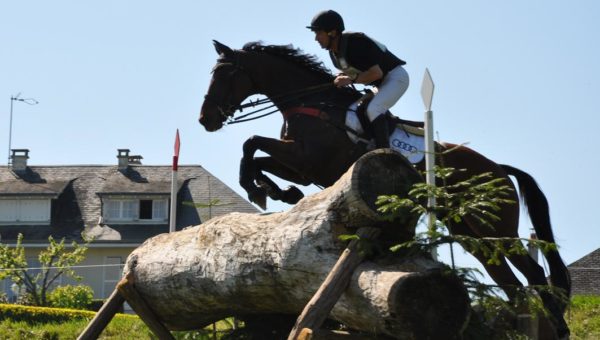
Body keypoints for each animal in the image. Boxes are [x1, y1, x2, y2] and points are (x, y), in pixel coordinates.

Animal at [198, 39, 572, 338]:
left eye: (225, 75)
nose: (206, 120)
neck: (313, 104)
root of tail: (500, 169)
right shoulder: (301, 166)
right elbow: (256, 155)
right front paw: (275, 191)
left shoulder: (307, 159)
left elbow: (251, 142)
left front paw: (260, 190)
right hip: (470, 232)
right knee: (511, 281)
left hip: (494, 226)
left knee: (534, 273)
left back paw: (558, 328)